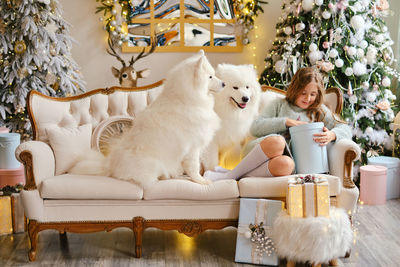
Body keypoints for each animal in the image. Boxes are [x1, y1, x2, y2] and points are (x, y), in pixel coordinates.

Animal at [70, 50, 223, 188]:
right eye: (210, 77)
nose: (223, 84)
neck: (185, 99)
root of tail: (110, 166)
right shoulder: (193, 147)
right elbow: (194, 167)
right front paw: (201, 181)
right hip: (152, 163)